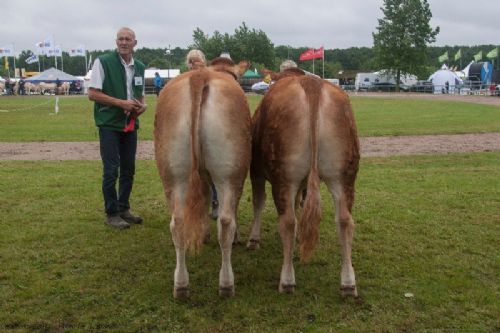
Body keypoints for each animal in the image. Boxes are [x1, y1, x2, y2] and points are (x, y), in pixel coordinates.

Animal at [155, 56, 252, 296]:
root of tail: (200, 76)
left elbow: (207, 198)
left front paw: (204, 235)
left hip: (173, 174)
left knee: (178, 223)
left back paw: (181, 285)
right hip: (230, 173)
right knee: (226, 222)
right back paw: (226, 284)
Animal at [247, 67, 360, 296]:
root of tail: (311, 83)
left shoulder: (256, 171)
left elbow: (258, 203)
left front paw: (254, 240)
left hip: (284, 175)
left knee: (287, 221)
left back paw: (287, 280)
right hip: (344, 174)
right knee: (345, 220)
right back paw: (348, 283)